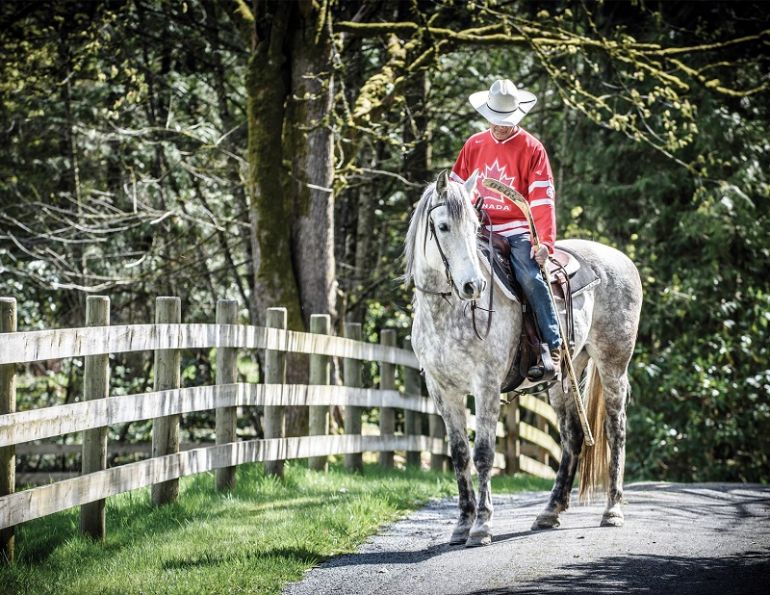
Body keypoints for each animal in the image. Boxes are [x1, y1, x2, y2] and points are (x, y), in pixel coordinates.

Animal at [404, 171, 643, 547]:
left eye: (474, 225)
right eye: (442, 226)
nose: (473, 286)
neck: (448, 310)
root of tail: (621, 259)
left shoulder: (485, 385)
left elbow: (484, 453)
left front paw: (482, 526)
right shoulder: (441, 389)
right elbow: (459, 455)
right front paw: (462, 524)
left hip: (613, 364)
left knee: (615, 429)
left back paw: (612, 510)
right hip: (564, 377)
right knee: (573, 437)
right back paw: (550, 511)